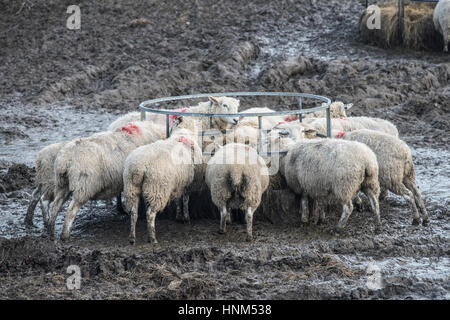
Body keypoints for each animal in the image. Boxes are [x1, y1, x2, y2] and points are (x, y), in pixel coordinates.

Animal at [121, 116, 202, 244]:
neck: (182, 135)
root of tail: (138, 167)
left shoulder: (177, 182)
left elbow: (177, 200)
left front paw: (178, 216)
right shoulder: (188, 183)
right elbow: (185, 200)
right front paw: (186, 218)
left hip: (131, 187)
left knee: (133, 213)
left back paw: (132, 238)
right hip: (157, 188)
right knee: (150, 214)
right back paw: (152, 238)